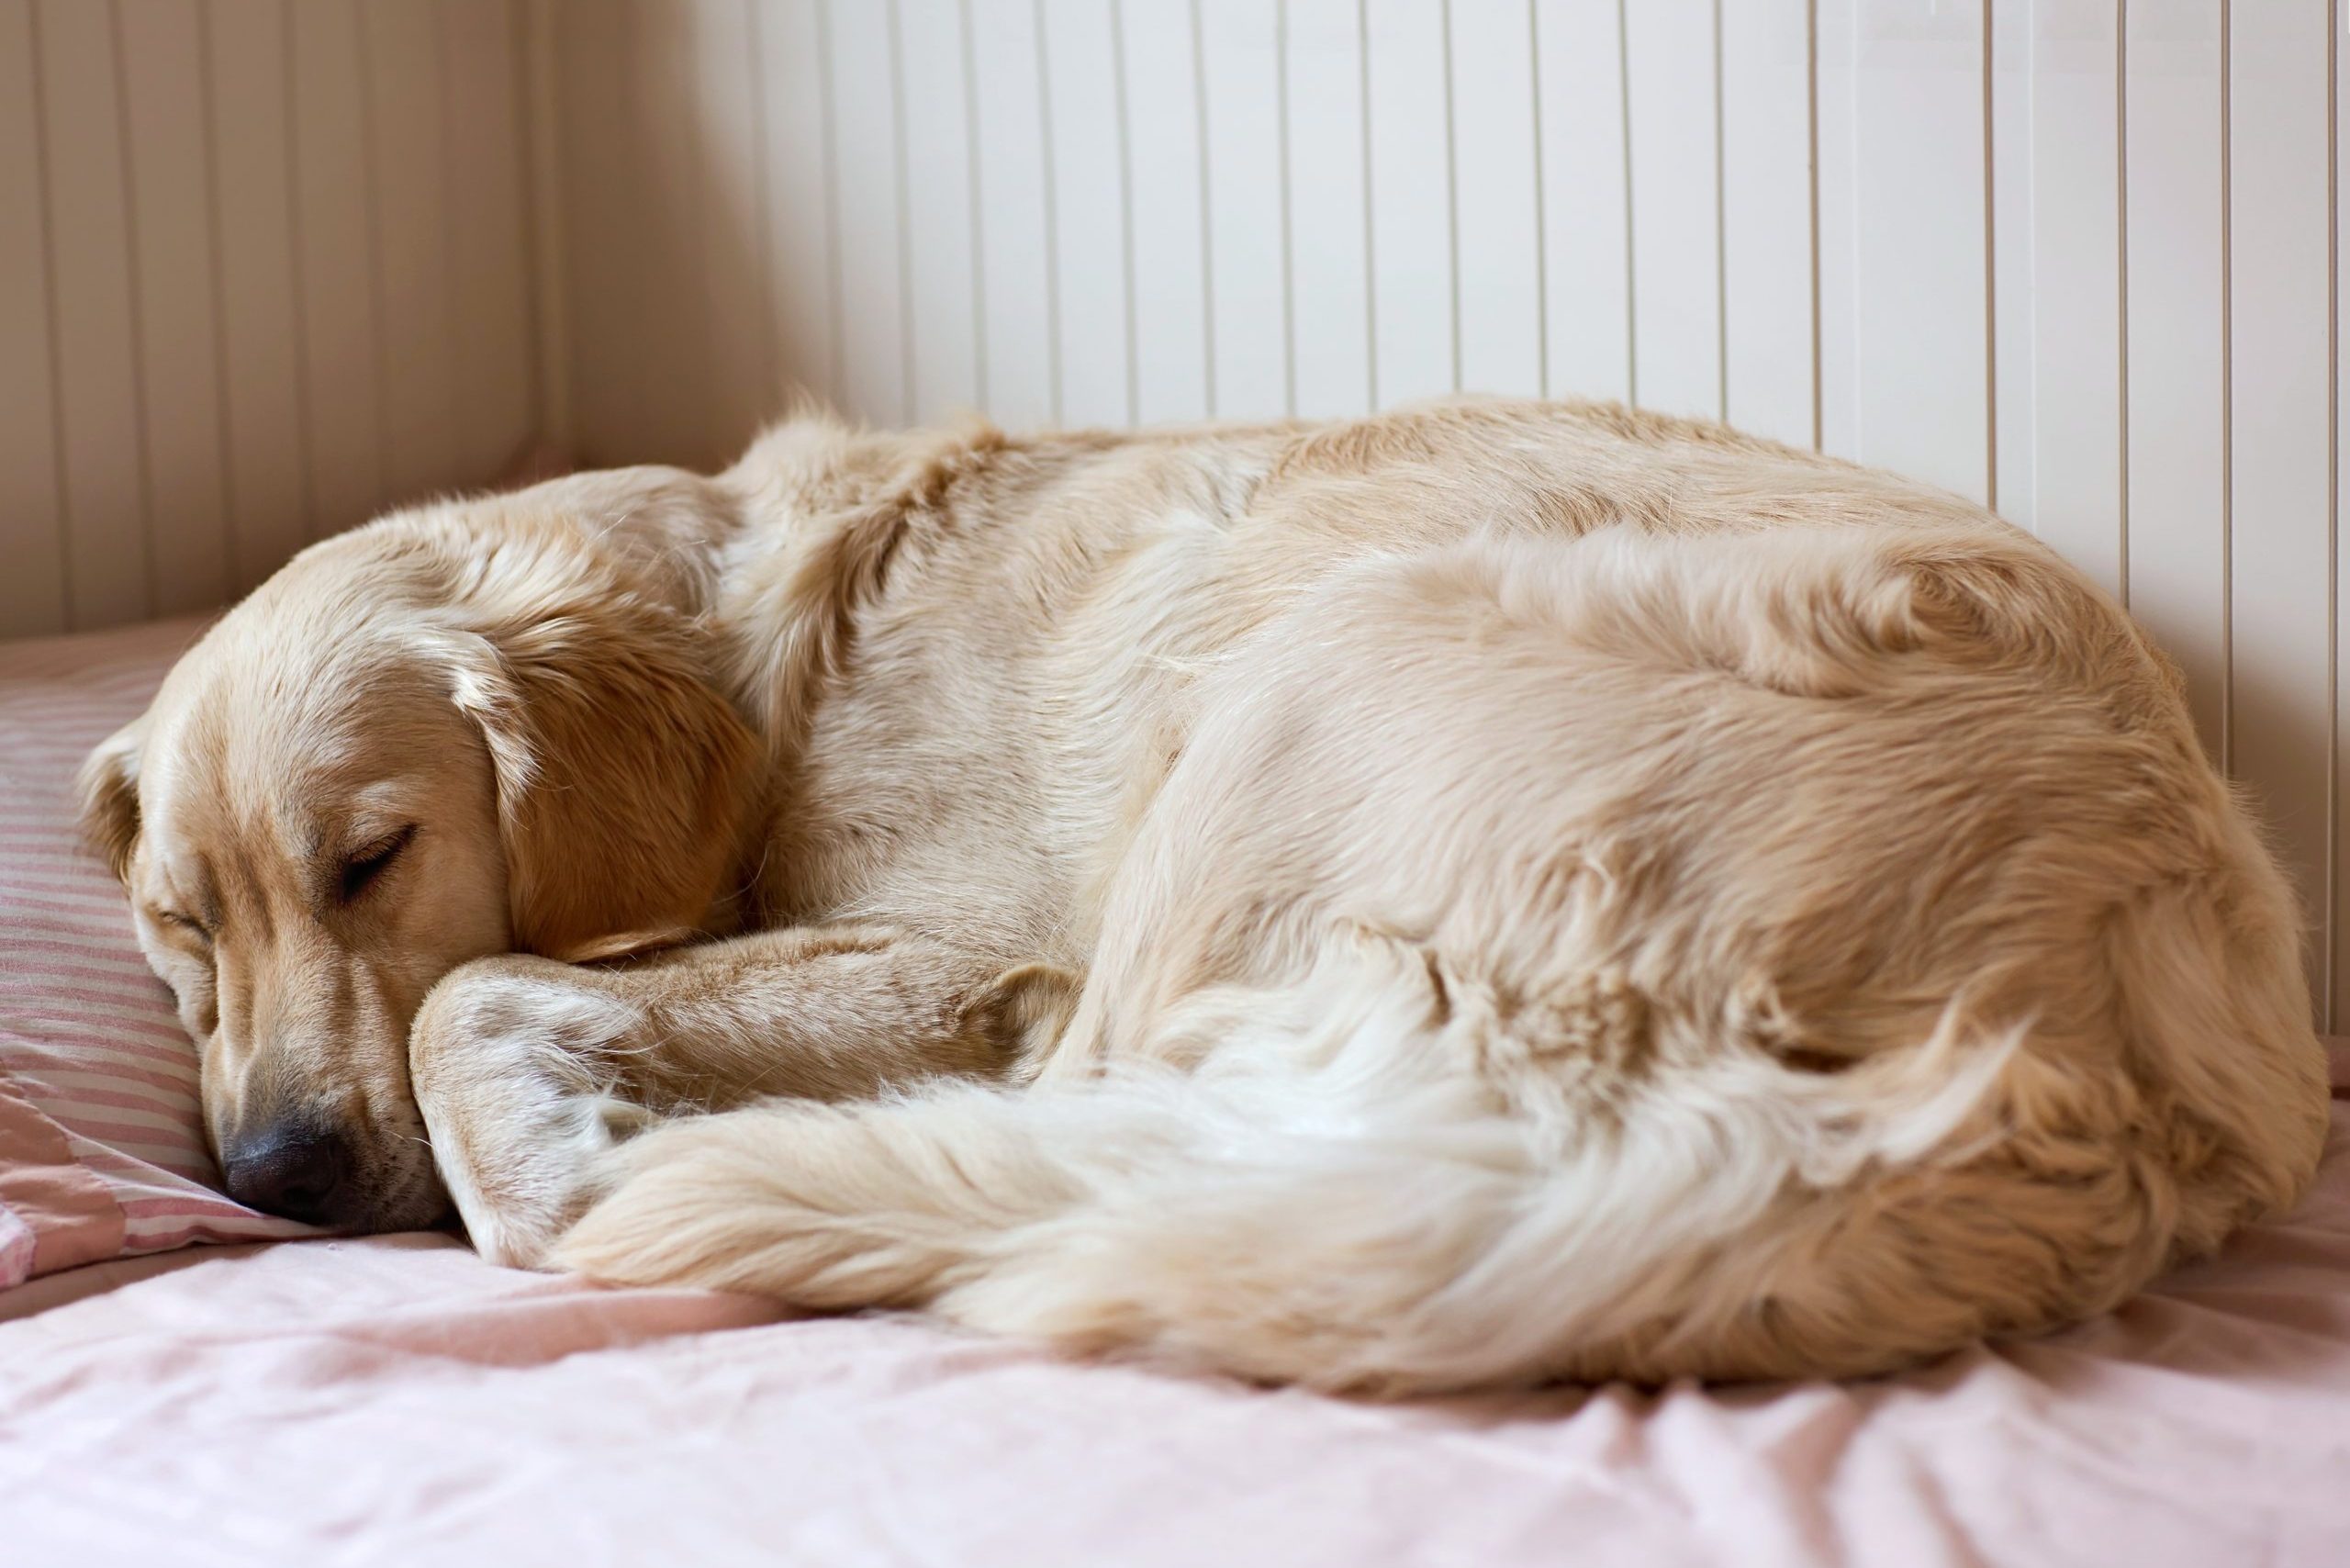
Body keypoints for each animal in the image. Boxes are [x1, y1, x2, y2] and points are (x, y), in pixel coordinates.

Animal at [78, 399, 2331, 1391]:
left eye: (373, 856)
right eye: (179, 930)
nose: (274, 1175)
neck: (762, 648)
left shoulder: (976, 946)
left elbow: (474, 995)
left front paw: (550, 1149)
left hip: (1305, 674)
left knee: (1064, 1120)